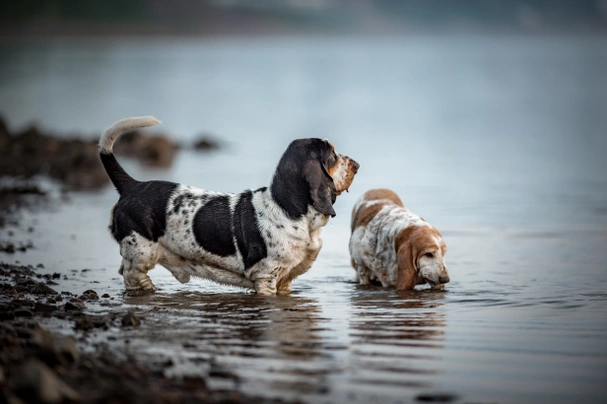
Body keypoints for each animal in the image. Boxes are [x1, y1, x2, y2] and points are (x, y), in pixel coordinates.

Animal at [97, 115, 358, 296]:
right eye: (332, 155)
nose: (356, 165)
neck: (289, 209)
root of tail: (132, 186)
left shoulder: (285, 281)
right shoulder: (266, 278)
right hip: (141, 253)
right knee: (133, 276)